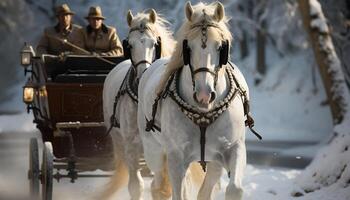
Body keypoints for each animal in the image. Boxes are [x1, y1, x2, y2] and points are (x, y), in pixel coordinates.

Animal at [102, 9, 176, 200]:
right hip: (119, 140)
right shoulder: (132, 148)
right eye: (130, 45)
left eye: (154, 43)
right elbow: (136, 186)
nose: (143, 76)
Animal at [138, 1, 250, 200]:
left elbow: (234, 189)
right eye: (188, 48)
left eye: (221, 47)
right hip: (154, 150)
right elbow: (178, 193)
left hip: (213, 160)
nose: (204, 95)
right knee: (157, 184)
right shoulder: (176, 156)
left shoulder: (233, 148)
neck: (204, 113)